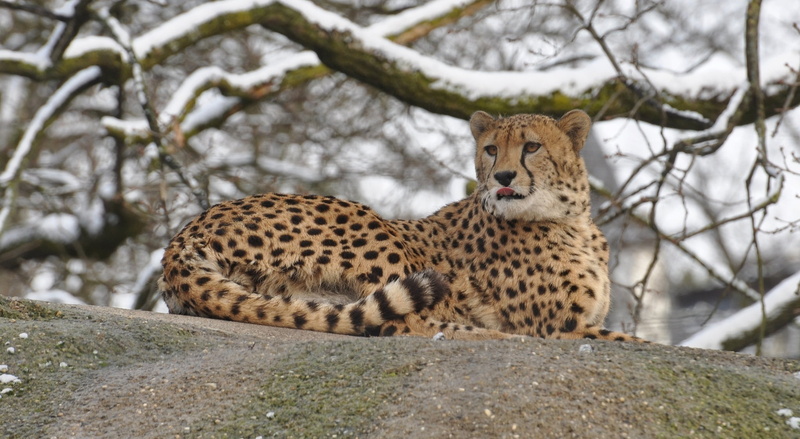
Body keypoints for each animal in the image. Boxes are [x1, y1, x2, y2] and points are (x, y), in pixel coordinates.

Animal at [158, 109, 642, 342]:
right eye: (490, 149)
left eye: (532, 147)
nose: (503, 176)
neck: (569, 218)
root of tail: (180, 239)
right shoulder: (564, 326)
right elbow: (633, 341)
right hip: (374, 227)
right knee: (400, 323)